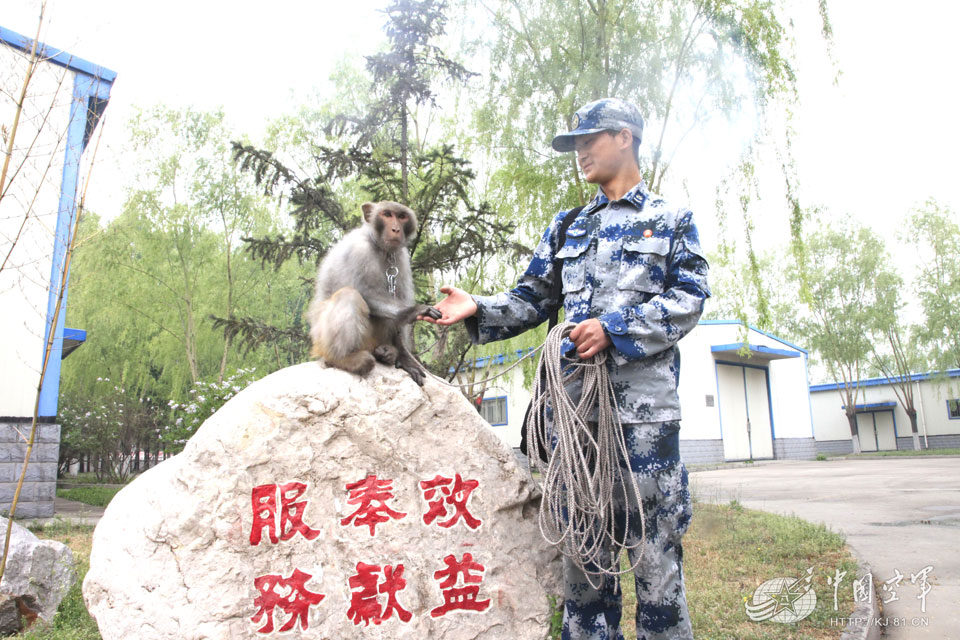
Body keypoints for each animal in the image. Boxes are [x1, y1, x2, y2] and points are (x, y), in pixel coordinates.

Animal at [306, 201, 440, 384]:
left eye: (402, 216)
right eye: (387, 214)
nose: (396, 229)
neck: (380, 247)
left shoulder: (401, 257)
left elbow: (401, 298)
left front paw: (403, 356)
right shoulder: (359, 250)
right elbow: (364, 292)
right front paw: (412, 311)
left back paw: (389, 353)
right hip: (322, 338)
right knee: (349, 294)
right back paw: (342, 359)